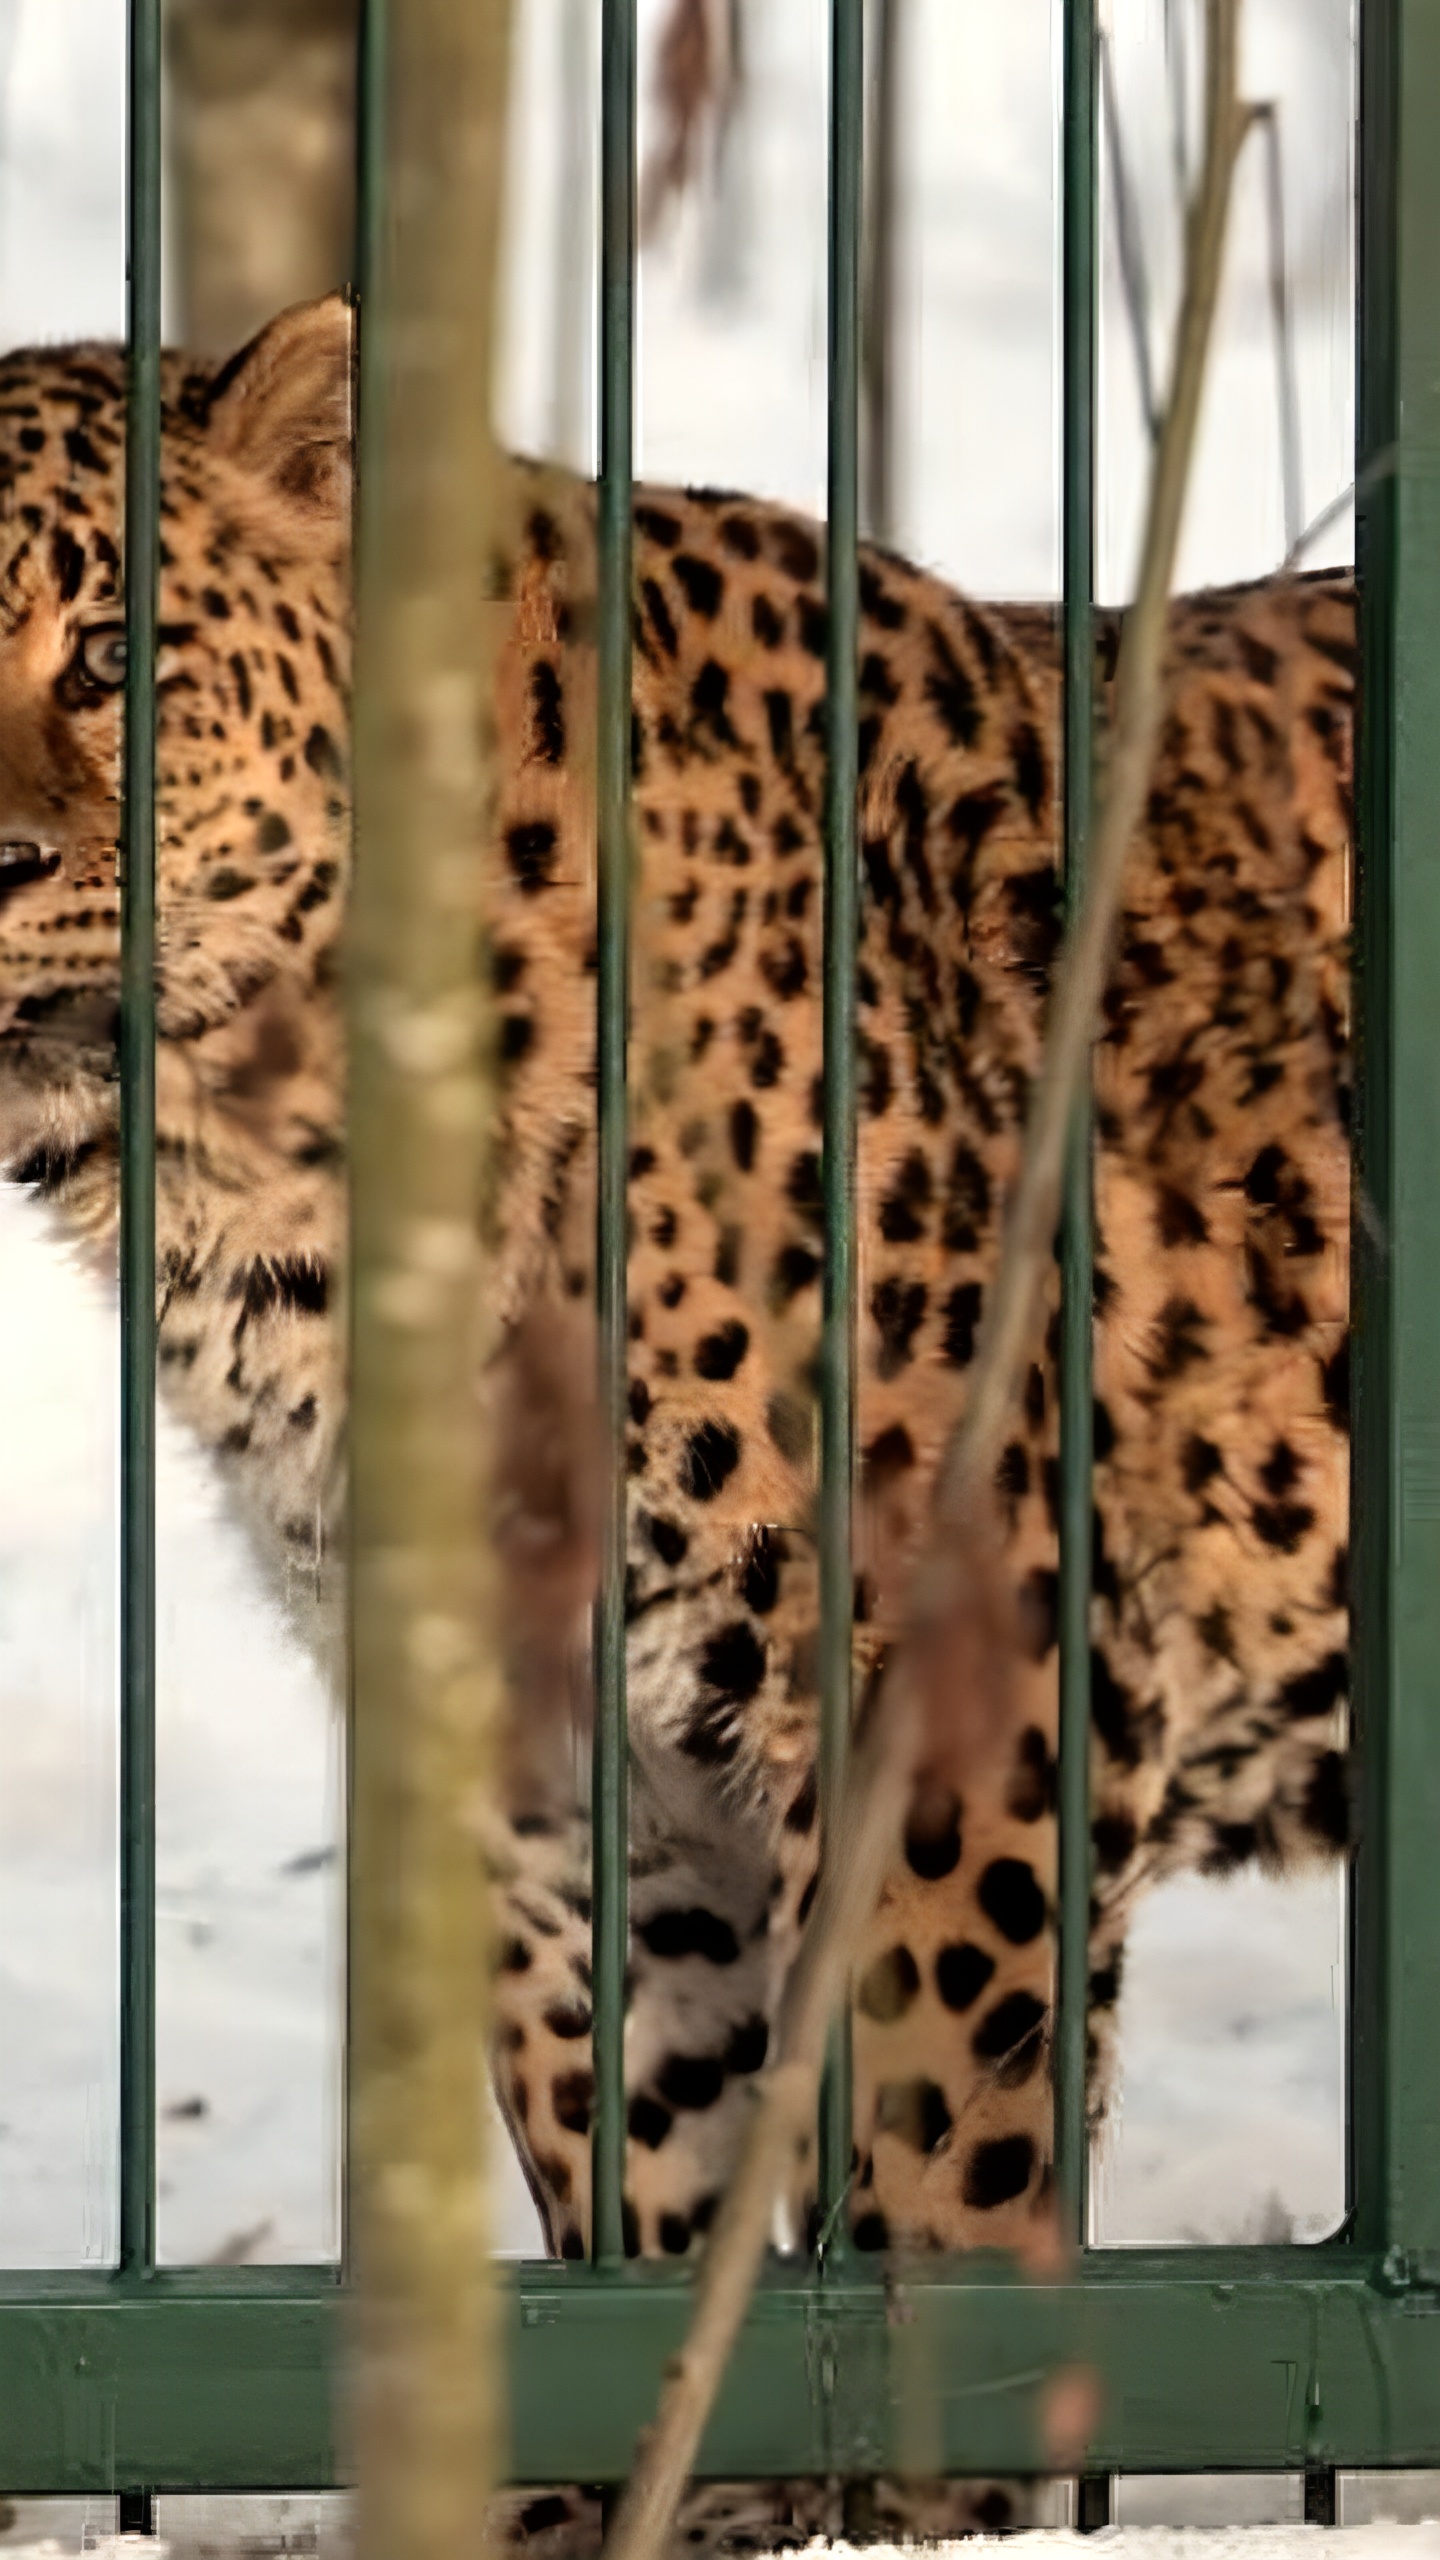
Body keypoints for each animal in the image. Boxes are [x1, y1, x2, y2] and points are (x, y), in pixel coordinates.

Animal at [0, 290, 1342, 2529]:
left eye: (112, 653)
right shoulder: (555, 1753)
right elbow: (645, 2173)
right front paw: (634, 2503)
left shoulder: (964, 1684)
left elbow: (935, 2189)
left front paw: (927, 2529)